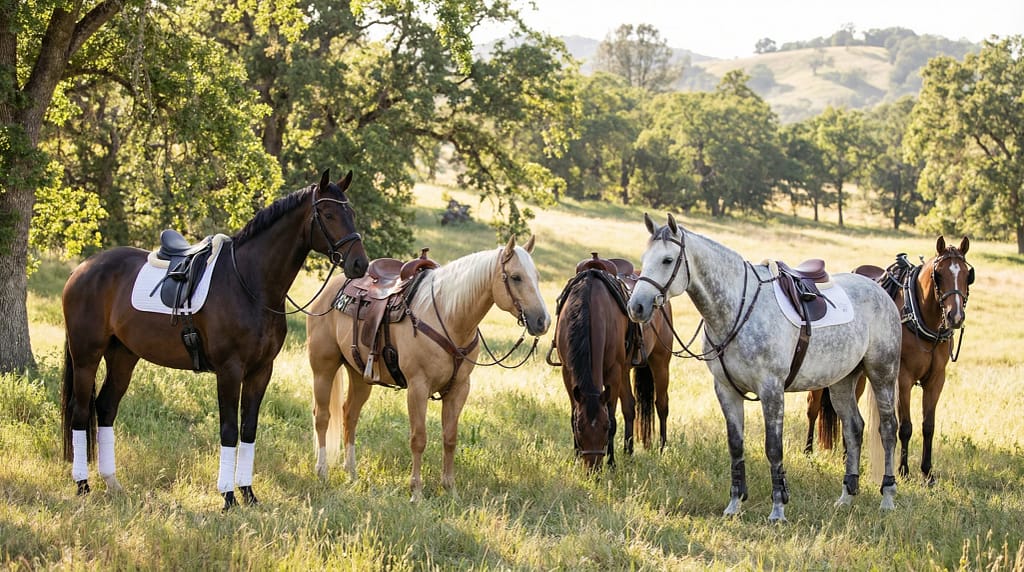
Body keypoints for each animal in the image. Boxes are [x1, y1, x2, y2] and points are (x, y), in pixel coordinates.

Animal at [61, 170, 368, 510]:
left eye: (351, 213)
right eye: (328, 214)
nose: (360, 264)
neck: (250, 283)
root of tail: (84, 269)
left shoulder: (261, 371)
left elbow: (248, 429)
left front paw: (248, 492)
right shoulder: (229, 370)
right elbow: (229, 430)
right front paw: (228, 496)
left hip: (123, 356)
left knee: (105, 407)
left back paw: (112, 483)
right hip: (86, 356)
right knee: (80, 412)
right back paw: (82, 484)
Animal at [307, 236, 550, 501]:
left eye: (536, 277)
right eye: (516, 277)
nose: (543, 321)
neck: (448, 316)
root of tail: (331, 290)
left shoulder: (459, 389)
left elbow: (450, 438)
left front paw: (450, 488)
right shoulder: (418, 387)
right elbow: (419, 438)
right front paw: (416, 491)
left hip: (360, 375)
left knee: (349, 415)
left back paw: (351, 472)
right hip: (323, 368)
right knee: (322, 416)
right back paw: (321, 471)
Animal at [550, 257, 672, 470]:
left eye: (605, 427)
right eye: (580, 427)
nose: (593, 469)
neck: (590, 305)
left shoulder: (613, 372)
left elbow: (614, 416)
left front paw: (612, 463)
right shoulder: (567, 372)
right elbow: (574, 413)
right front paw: (576, 458)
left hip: (660, 362)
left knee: (661, 405)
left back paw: (662, 450)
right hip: (625, 371)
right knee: (630, 407)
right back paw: (628, 452)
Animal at [626, 213, 901, 522]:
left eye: (668, 260)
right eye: (644, 258)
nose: (636, 307)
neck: (737, 308)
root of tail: (879, 289)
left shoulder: (771, 390)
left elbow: (773, 448)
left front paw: (778, 509)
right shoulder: (726, 390)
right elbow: (736, 445)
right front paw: (734, 504)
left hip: (882, 373)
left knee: (888, 429)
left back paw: (887, 498)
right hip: (842, 382)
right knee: (853, 428)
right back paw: (845, 497)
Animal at [805, 237, 972, 485]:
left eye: (967, 274)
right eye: (938, 274)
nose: (956, 316)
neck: (920, 316)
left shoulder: (936, 380)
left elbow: (928, 426)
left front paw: (927, 472)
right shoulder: (903, 378)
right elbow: (906, 427)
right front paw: (903, 470)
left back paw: (847, 455)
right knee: (813, 407)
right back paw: (808, 451)